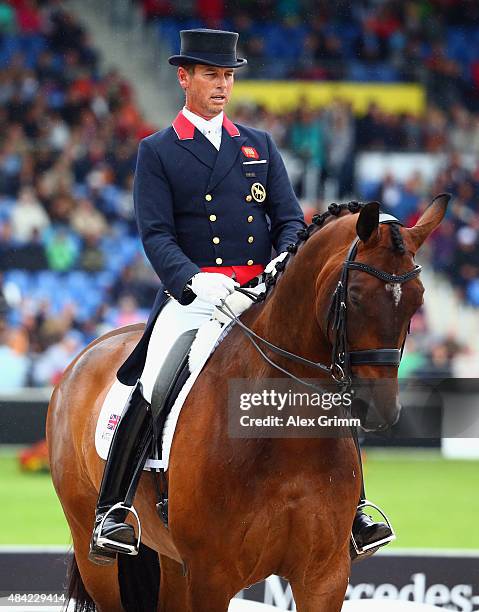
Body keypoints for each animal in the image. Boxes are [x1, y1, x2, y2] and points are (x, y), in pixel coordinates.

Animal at [45, 196, 450, 612]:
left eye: (418, 300)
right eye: (353, 296)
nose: (379, 409)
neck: (286, 438)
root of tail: (87, 354)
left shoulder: (324, 576)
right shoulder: (211, 577)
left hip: (172, 561)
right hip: (94, 551)